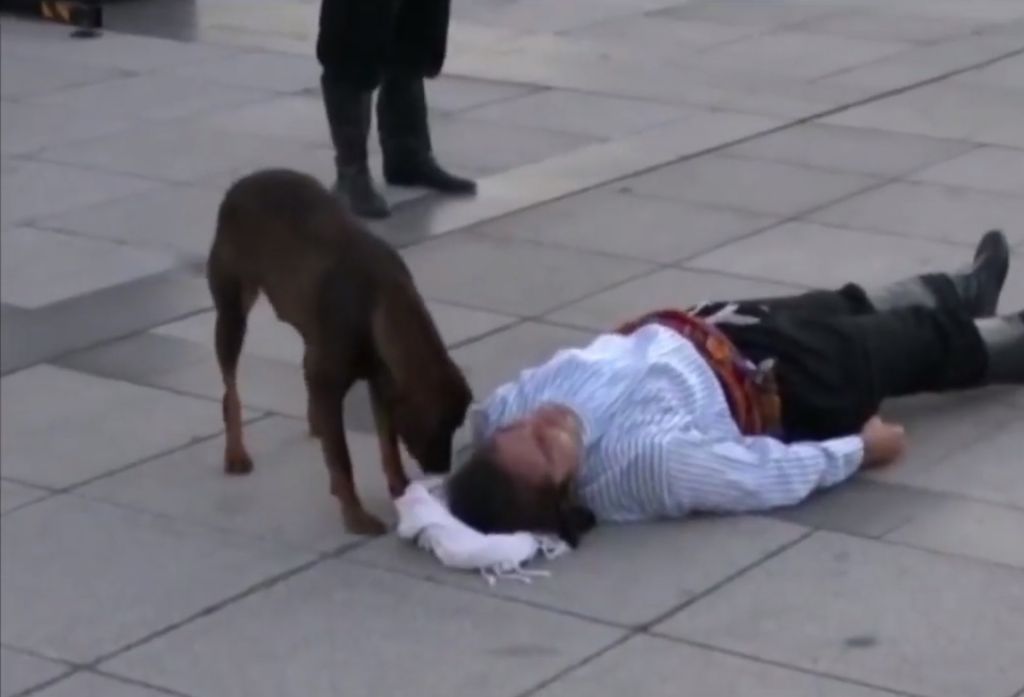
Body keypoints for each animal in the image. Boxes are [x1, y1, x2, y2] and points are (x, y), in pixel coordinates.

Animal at [206, 168, 472, 535]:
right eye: (439, 426)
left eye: (457, 423)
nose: (441, 469)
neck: (380, 303)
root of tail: (241, 184)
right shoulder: (333, 382)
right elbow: (343, 459)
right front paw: (355, 514)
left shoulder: (381, 382)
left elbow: (388, 445)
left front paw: (400, 489)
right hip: (232, 312)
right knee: (230, 387)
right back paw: (236, 452)